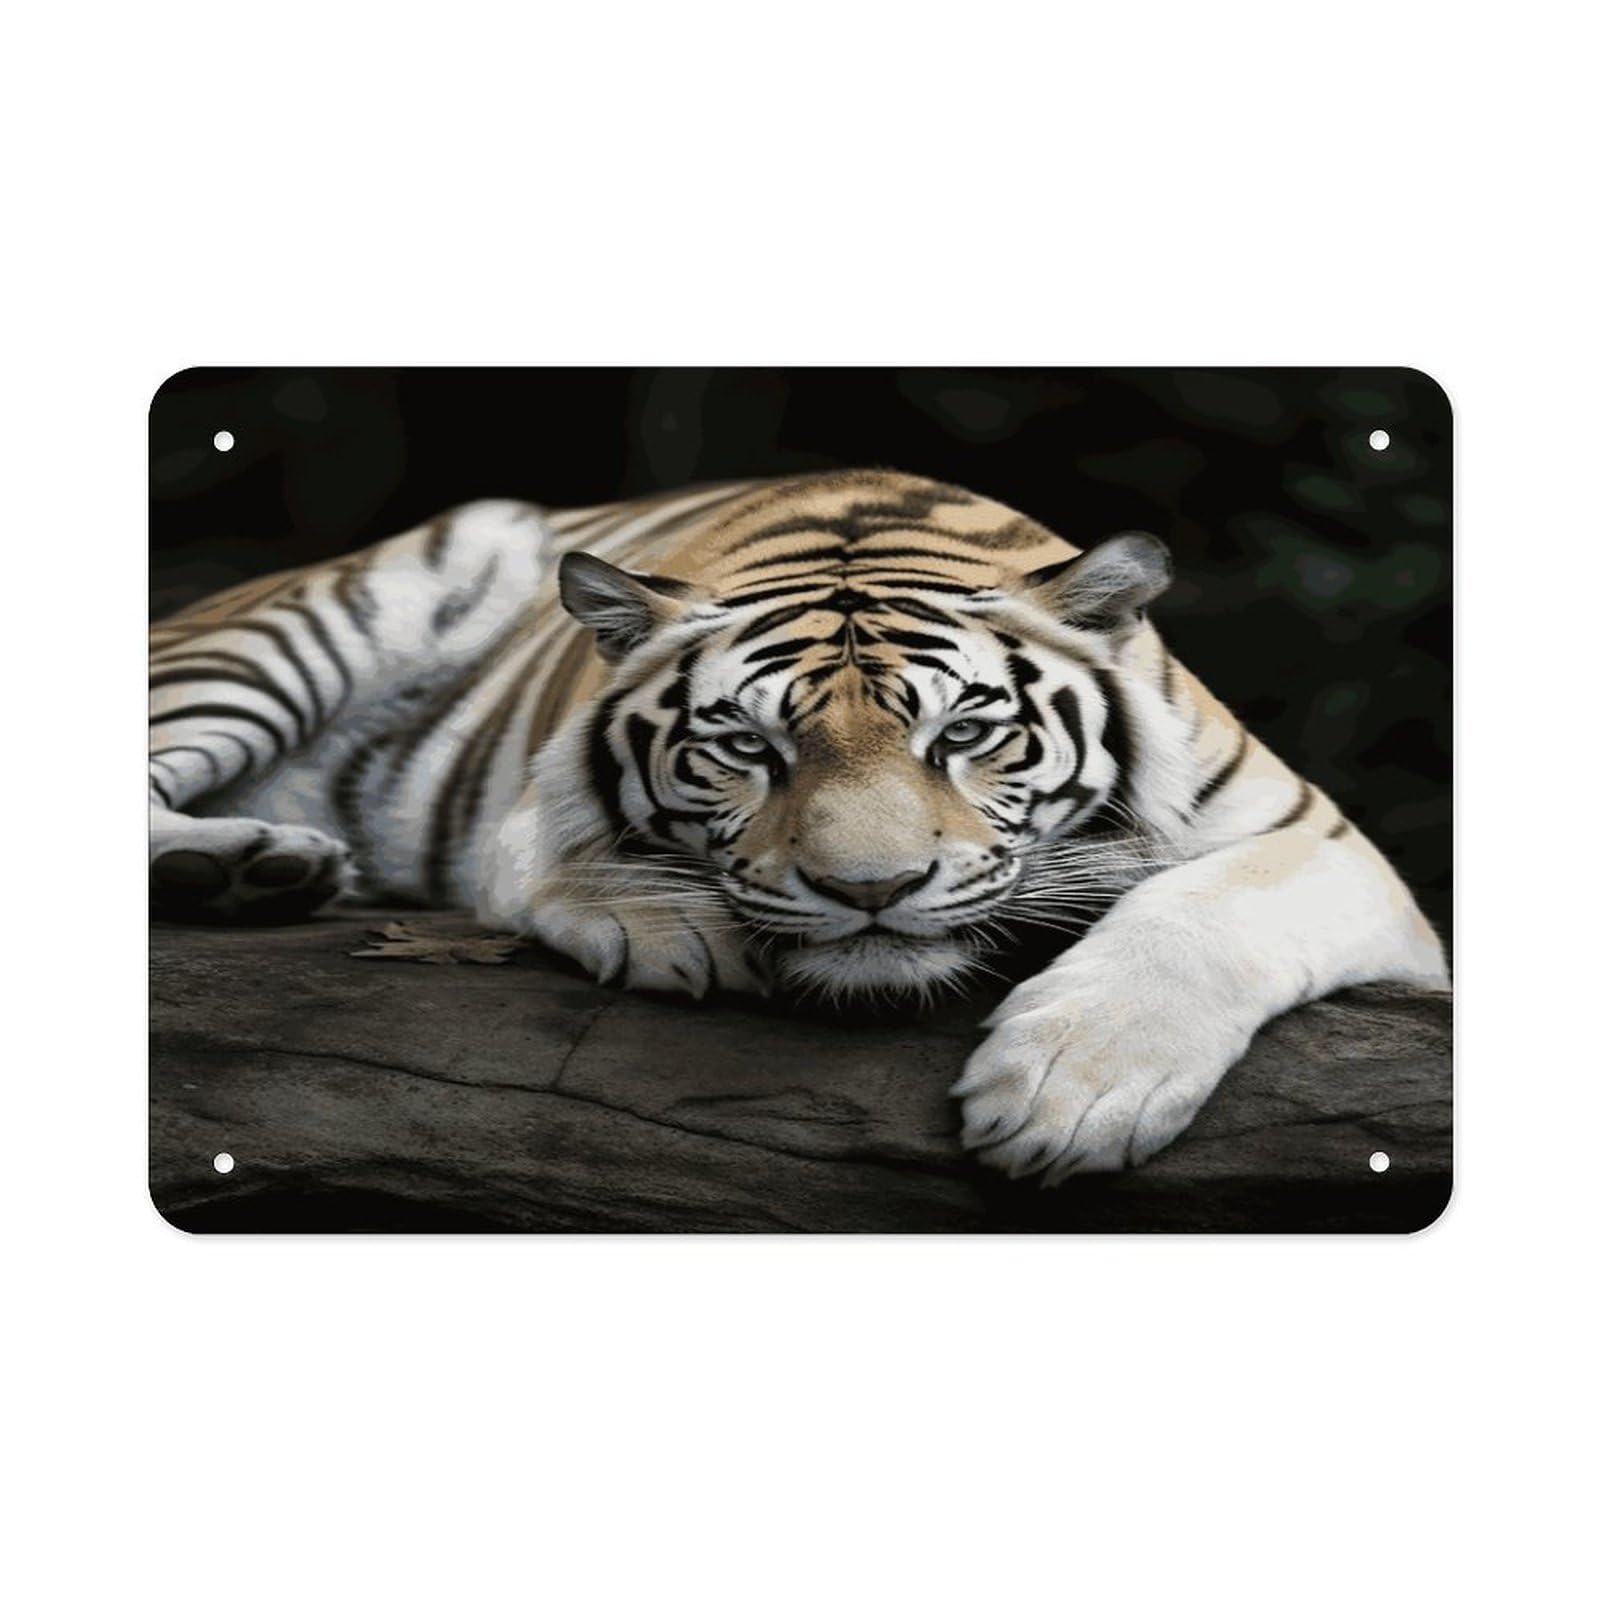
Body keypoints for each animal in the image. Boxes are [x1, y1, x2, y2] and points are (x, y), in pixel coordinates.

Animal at [149, 469, 1449, 1182]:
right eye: (746, 747)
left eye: (964, 733)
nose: (869, 890)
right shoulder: (527, 804)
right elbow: (566, 856)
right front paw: (674, 927)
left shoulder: (1327, 844)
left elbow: (1207, 910)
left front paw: (1070, 1094)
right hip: (297, 625)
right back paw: (247, 868)